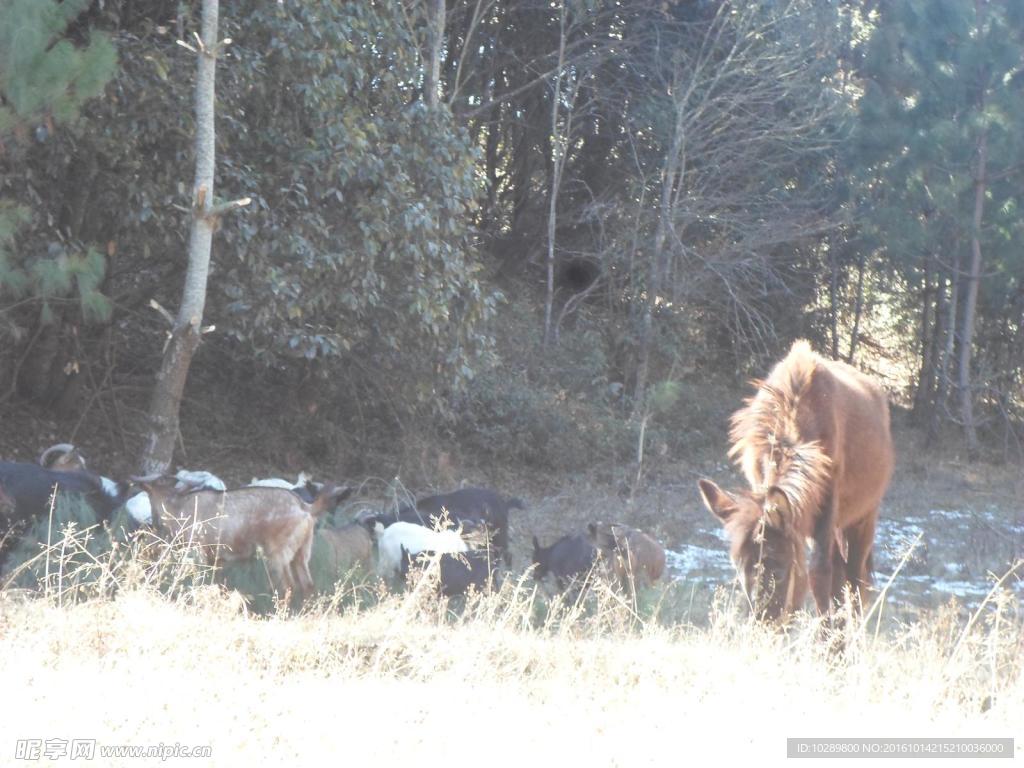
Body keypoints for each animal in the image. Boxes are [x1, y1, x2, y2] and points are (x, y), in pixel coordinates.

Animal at [140, 481, 354, 602]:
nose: (152, 523)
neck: (176, 510)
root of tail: (306, 508)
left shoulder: (199, 552)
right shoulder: (216, 560)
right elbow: (219, 586)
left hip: (277, 553)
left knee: (288, 587)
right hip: (301, 553)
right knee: (307, 585)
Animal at [700, 339, 892, 622]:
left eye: (780, 569)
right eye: (739, 567)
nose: (762, 622)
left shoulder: (827, 504)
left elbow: (819, 574)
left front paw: (826, 634)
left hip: (865, 514)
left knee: (855, 577)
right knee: (841, 572)